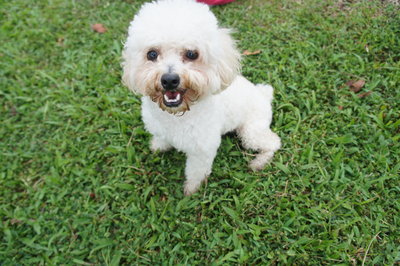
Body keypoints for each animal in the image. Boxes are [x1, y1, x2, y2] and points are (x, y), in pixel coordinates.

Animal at [122, 0, 282, 195]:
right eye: (151, 54)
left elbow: (196, 172)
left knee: (273, 143)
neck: (176, 114)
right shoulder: (160, 128)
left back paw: (259, 162)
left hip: (251, 130)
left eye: (192, 54)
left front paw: (191, 190)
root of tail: (263, 94)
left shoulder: (202, 150)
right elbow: (162, 138)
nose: (169, 80)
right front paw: (158, 146)